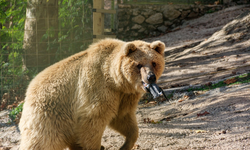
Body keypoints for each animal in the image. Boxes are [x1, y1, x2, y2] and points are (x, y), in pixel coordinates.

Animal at [18, 38, 165, 150]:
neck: (115, 80)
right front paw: (97, 146)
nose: (151, 77)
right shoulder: (97, 89)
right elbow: (92, 123)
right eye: (139, 65)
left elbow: (123, 119)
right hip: (49, 114)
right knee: (41, 142)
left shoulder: (123, 96)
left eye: (154, 62)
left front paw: (125, 145)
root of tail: (28, 91)